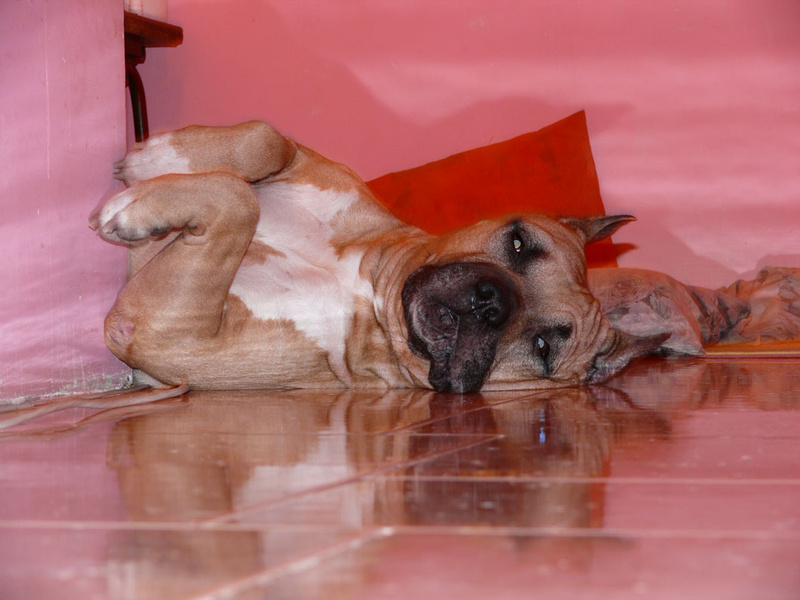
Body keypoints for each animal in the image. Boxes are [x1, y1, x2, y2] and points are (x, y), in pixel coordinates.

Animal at [90, 121, 667, 393]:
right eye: (520, 242)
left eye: (543, 347)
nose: (491, 301)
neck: (371, 289)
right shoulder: (302, 163)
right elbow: (266, 142)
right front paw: (156, 159)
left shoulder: (170, 331)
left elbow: (238, 201)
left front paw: (136, 206)